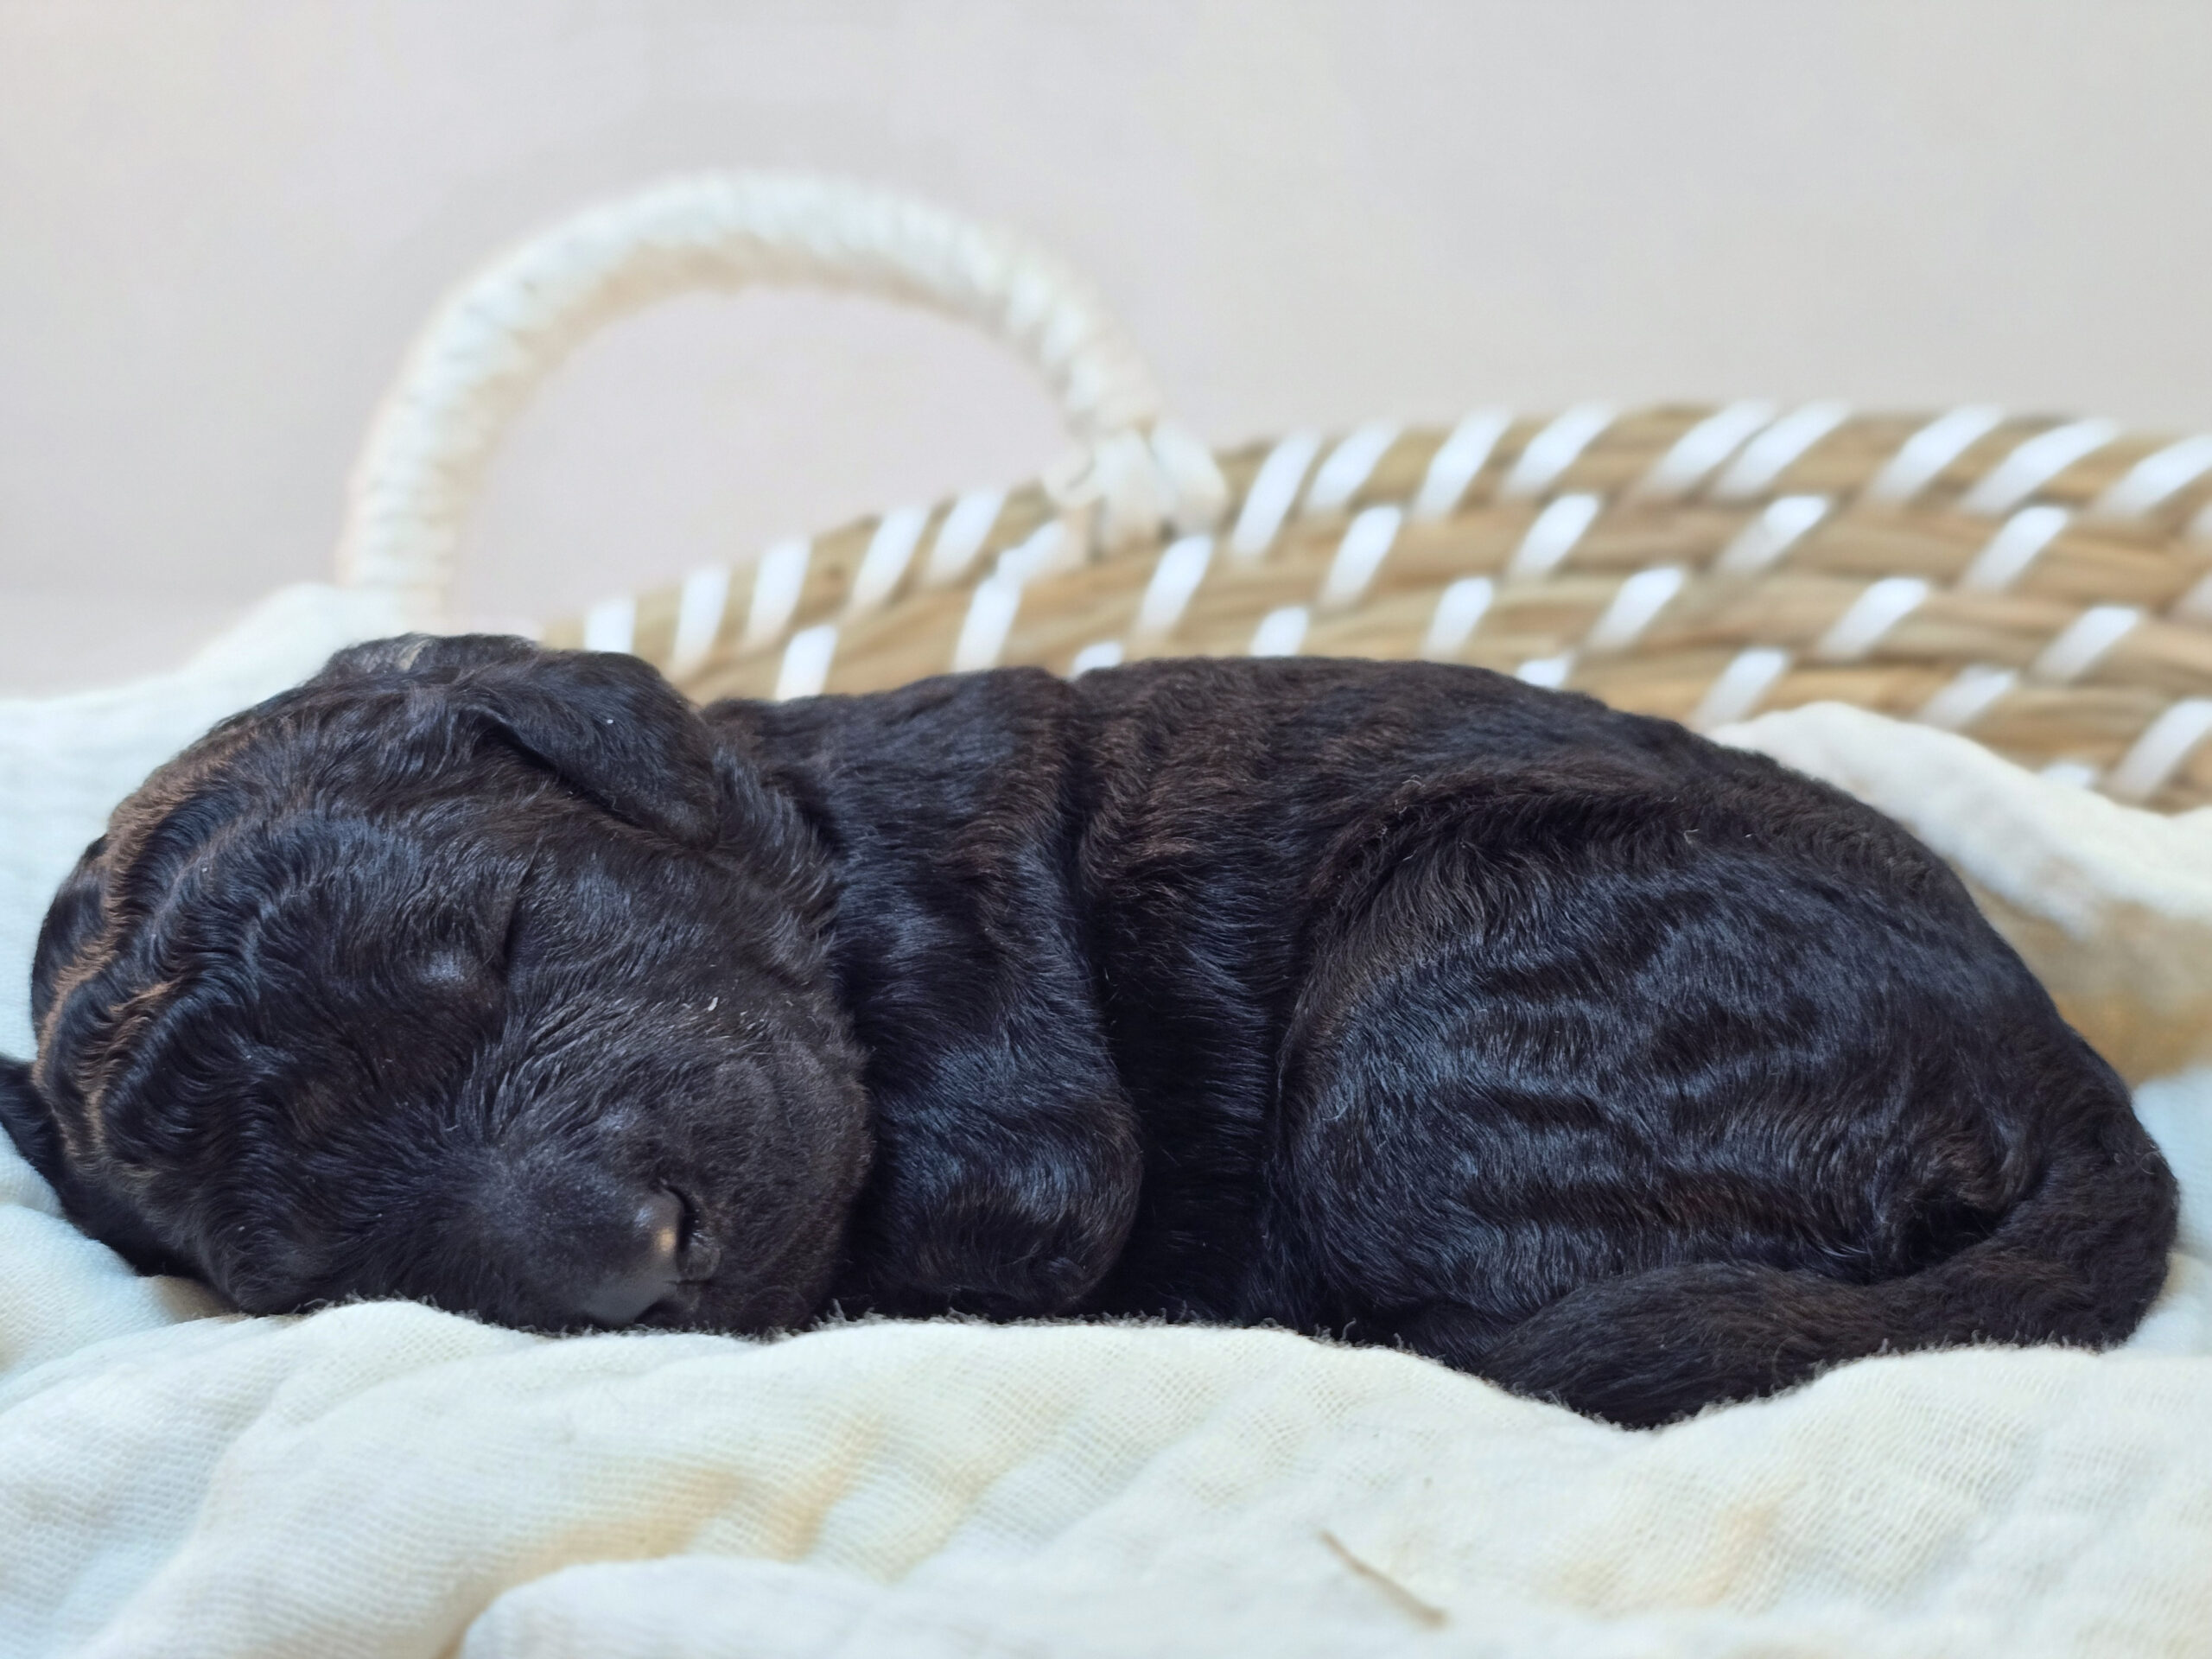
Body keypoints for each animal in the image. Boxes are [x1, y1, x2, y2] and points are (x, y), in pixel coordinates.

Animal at [0, 635, 2178, 1427]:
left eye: (505, 935)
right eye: (300, 1258)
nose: (620, 1264)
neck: (812, 848)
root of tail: (2070, 1076)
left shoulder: (1015, 1110)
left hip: (1438, 1011)